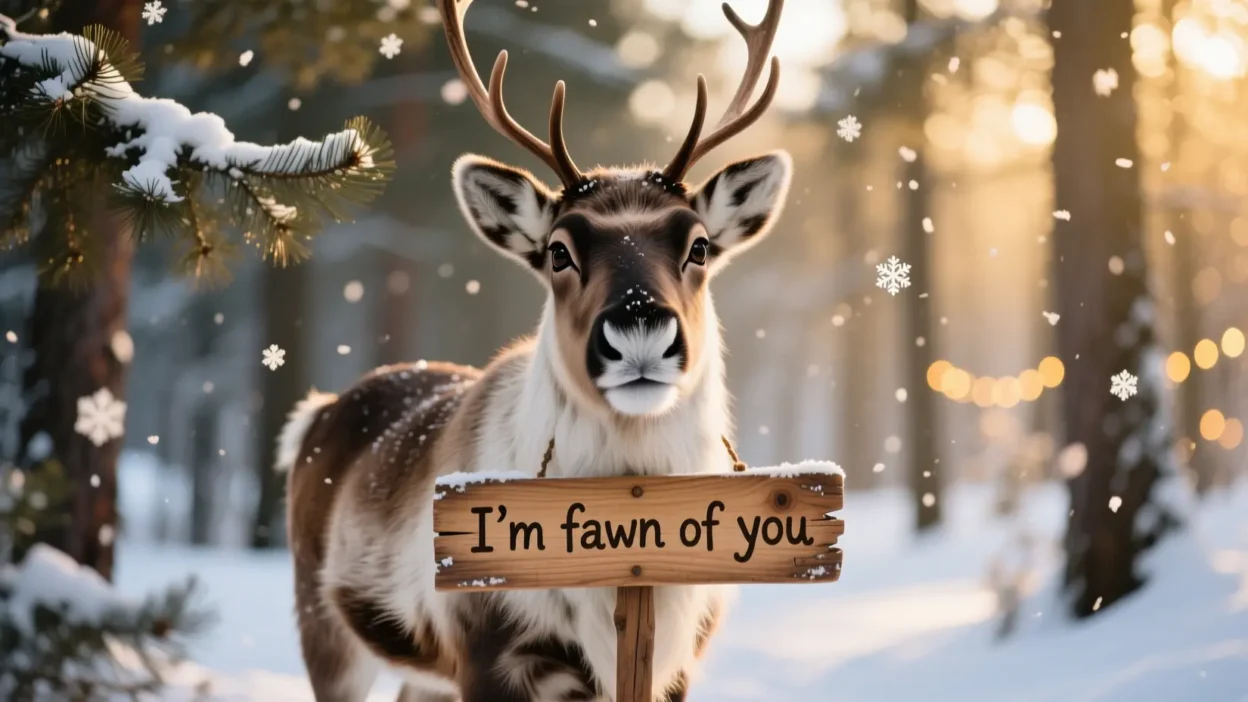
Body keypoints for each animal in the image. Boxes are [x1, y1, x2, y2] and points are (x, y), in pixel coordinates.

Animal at [279, 0, 791, 700]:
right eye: (557, 251)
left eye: (701, 245)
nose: (639, 328)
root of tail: (316, 412)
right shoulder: (487, 647)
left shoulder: (676, 660)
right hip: (326, 625)